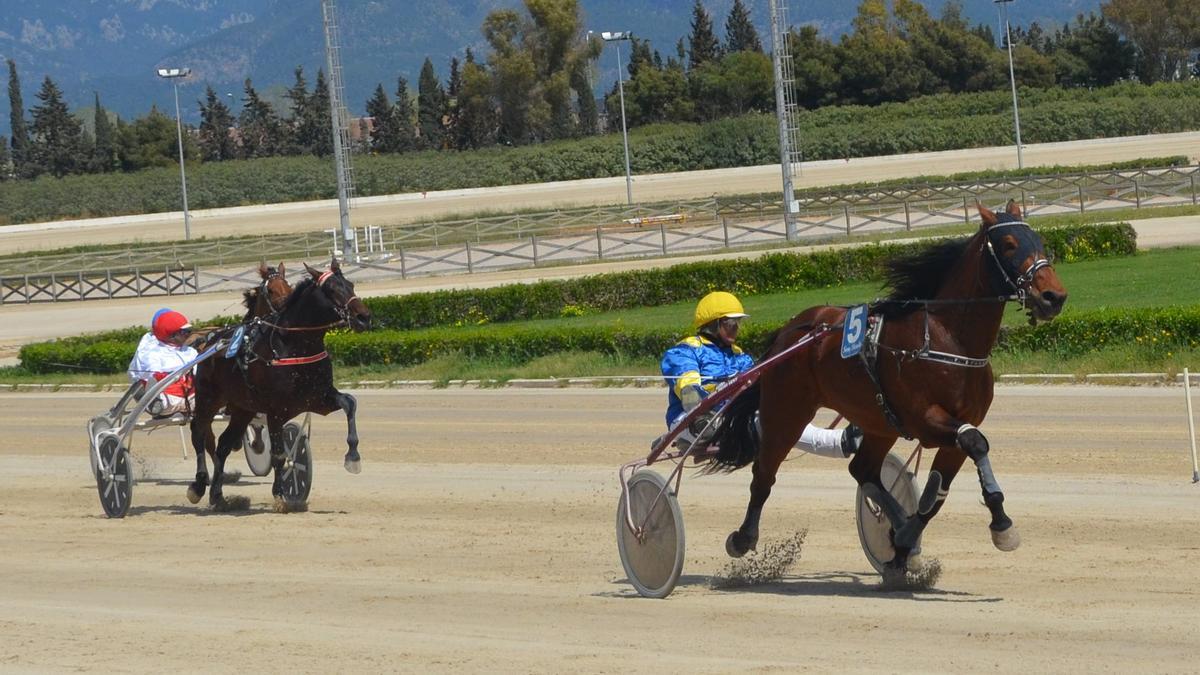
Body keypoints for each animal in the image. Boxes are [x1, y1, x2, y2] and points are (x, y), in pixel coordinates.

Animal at [187, 257, 369, 504]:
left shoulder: (317, 398)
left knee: (223, 445)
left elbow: (350, 403)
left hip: (242, 408)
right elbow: (278, 455)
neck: (294, 346)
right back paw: (198, 485)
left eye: (350, 285)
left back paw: (217, 495)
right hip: (208, 398)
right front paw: (281, 494)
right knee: (198, 431)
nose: (364, 317)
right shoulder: (275, 410)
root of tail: (209, 341)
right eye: (331, 289)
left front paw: (353, 456)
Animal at [705, 200, 1065, 578]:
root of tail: (792, 330)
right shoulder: (926, 420)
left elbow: (937, 490)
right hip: (786, 410)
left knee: (862, 469)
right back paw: (742, 537)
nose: (1053, 296)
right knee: (764, 472)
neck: (947, 340)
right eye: (1009, 244)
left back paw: (897, 524)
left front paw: (903, 545)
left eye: (1038, 240)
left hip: (878, 422)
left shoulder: (958, 425)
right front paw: (1002, 526)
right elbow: (976, 444)